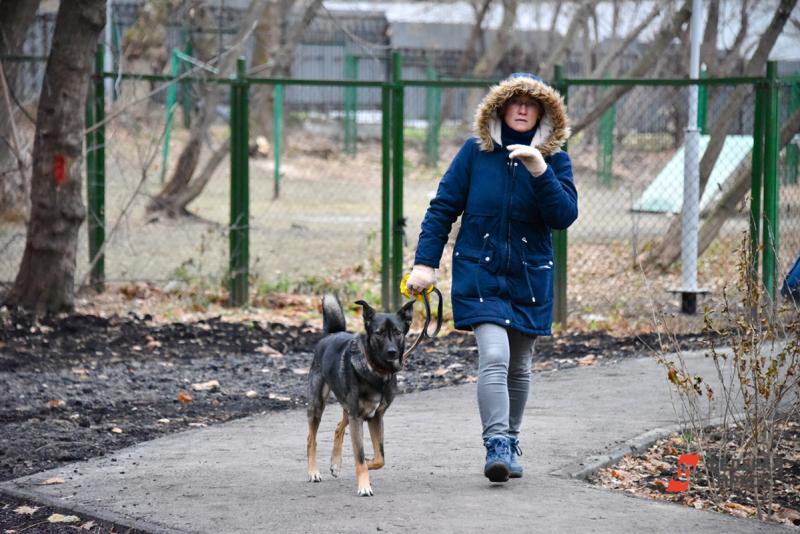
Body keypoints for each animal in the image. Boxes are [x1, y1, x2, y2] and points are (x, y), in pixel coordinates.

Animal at [306, 294, 416, 498]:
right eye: (379, 333)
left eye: (398, 332)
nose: (392, 352)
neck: (377, 371)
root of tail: (331, 334)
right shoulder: (357, 417)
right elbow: (360, 457)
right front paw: (364, 485)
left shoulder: (375, 417)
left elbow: (379, 458)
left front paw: (368, 463)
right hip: (318, 405)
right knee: (311, 439)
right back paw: (313, 472)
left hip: (347, 409)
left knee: (338, 427)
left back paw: (336, 463)